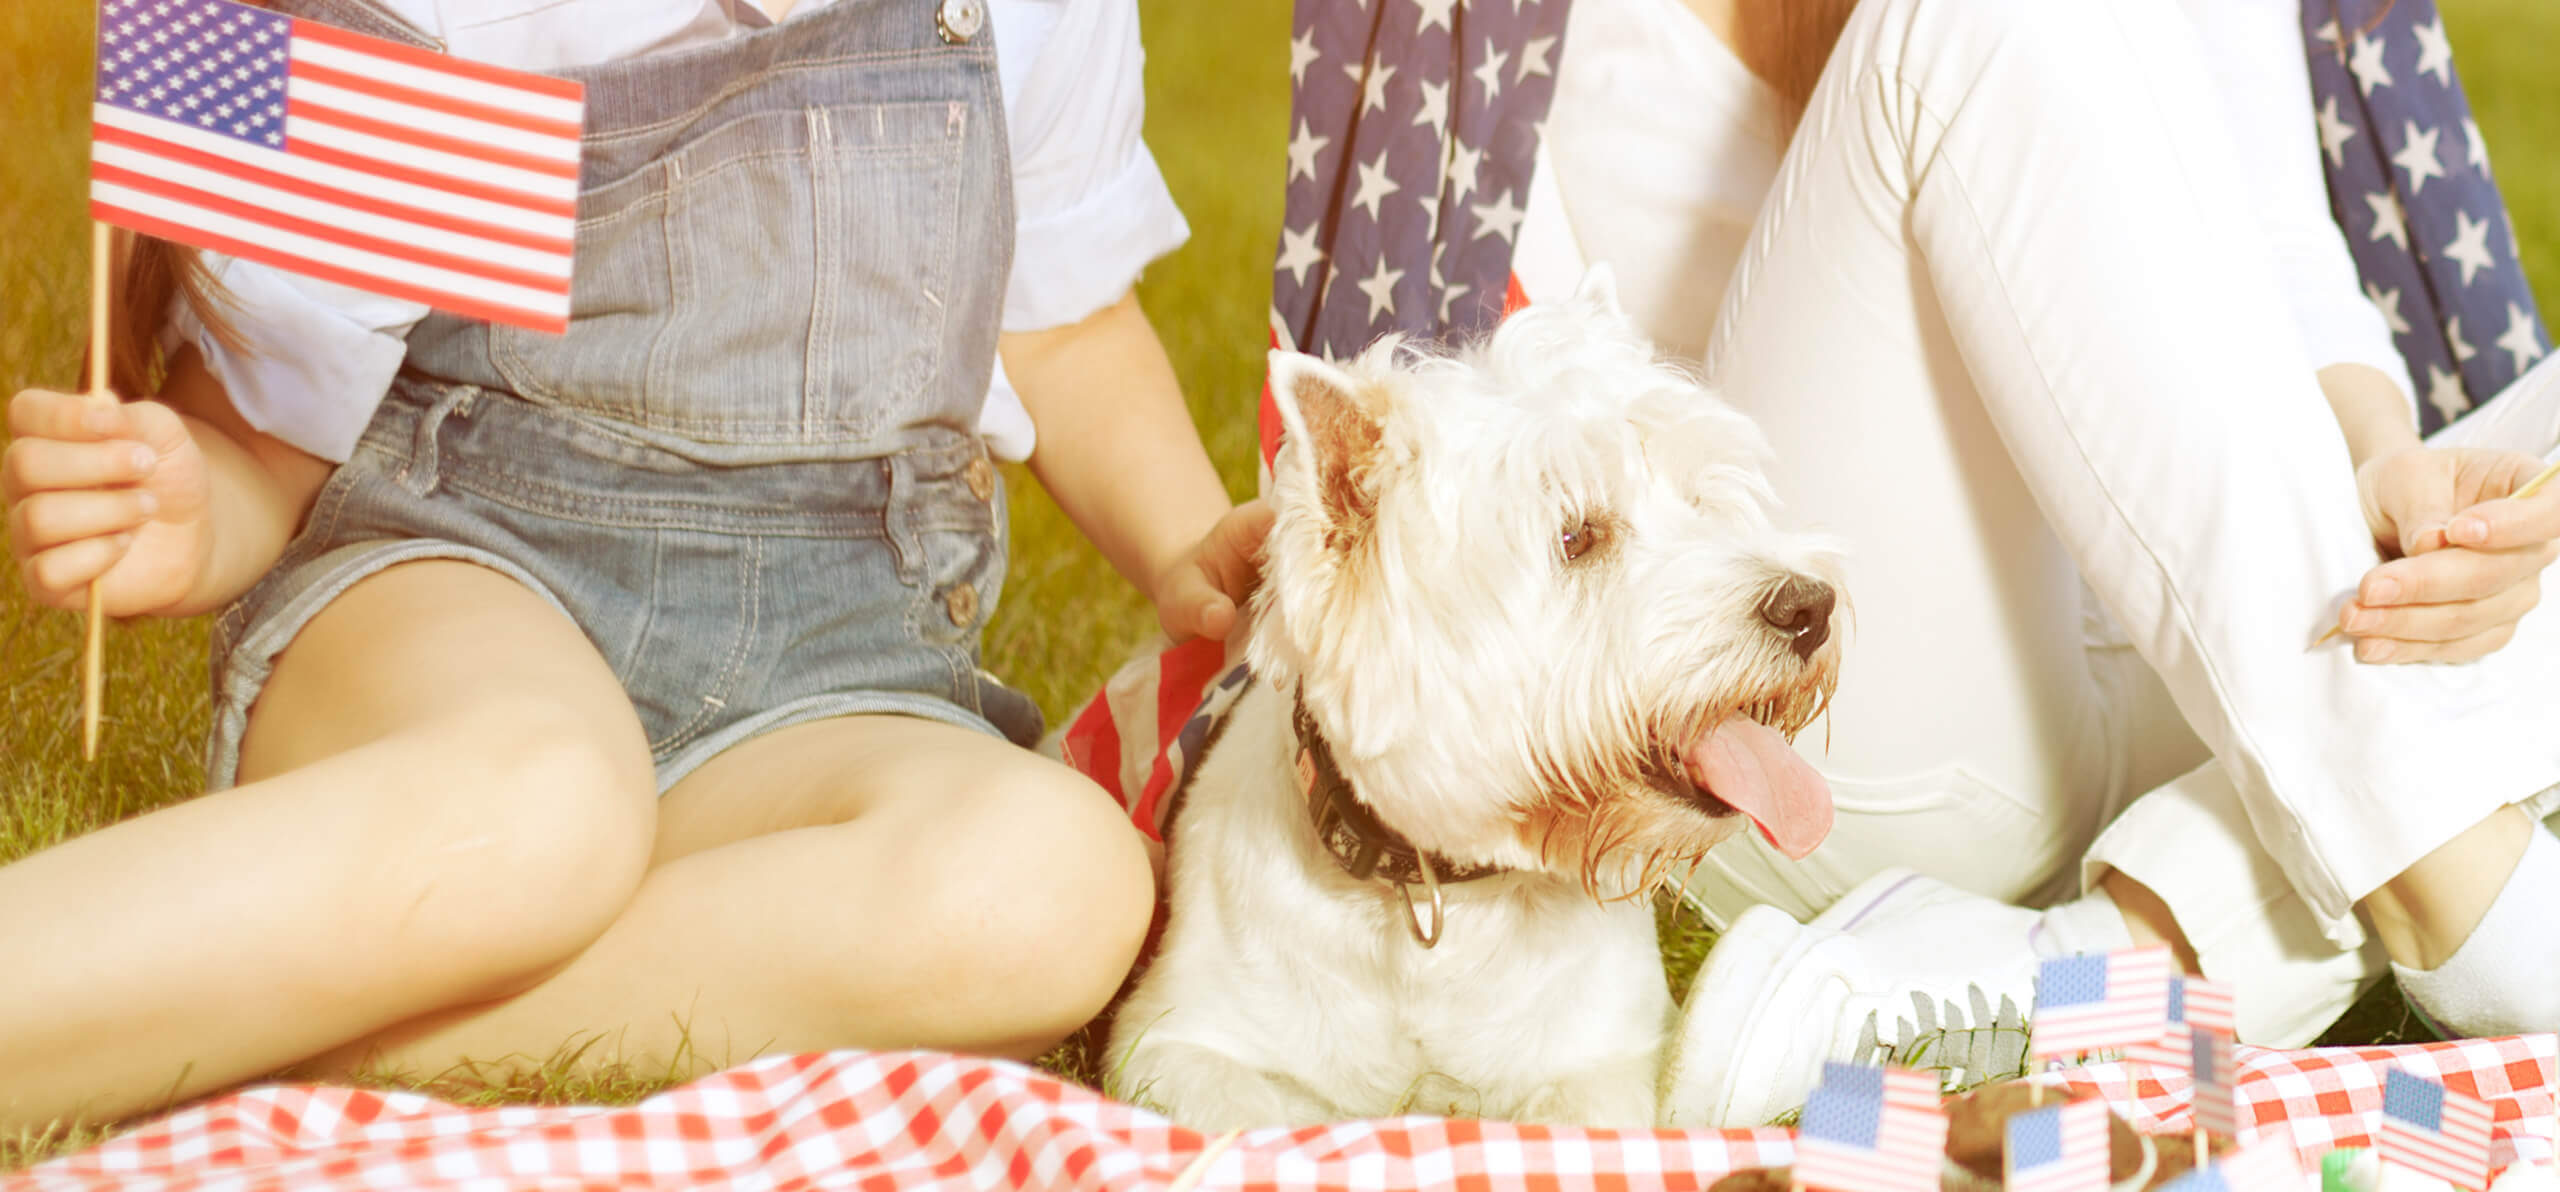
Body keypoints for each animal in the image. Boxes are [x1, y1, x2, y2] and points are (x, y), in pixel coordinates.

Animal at [1111, 272, 1853, 1135]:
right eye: (1576, 537)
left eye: (1701, 500)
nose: (1811, 607)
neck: (1435, 898)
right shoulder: (1172, 1043)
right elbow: (1255, 1116)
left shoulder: (1610, 1055)